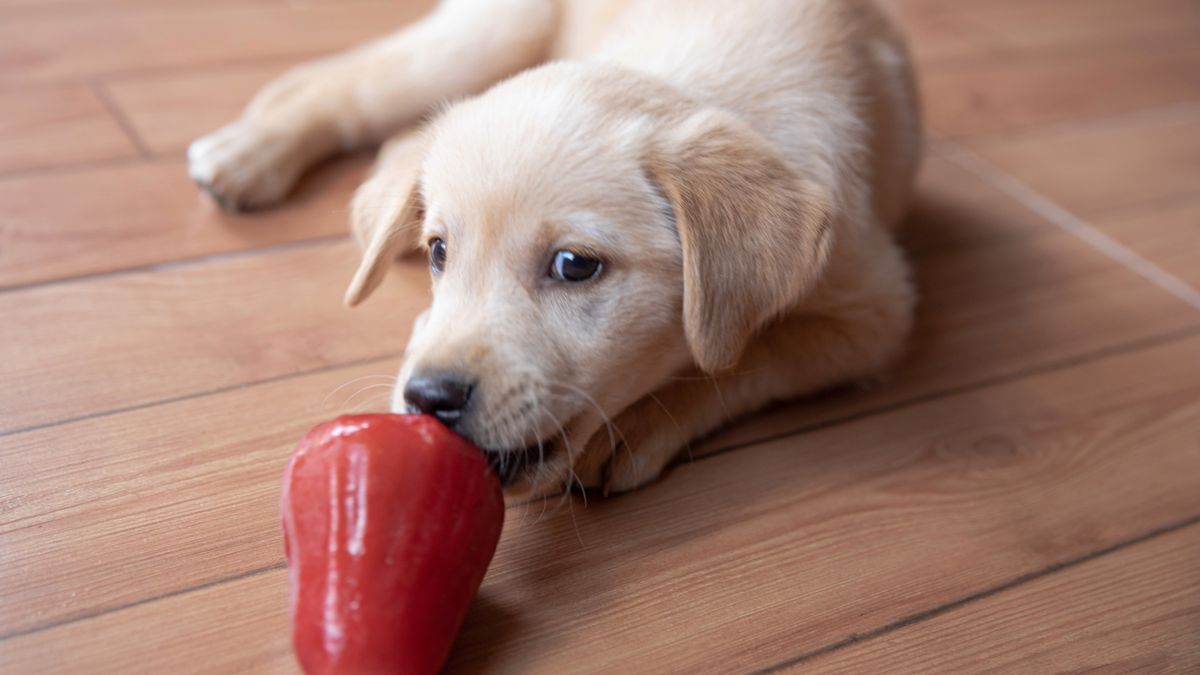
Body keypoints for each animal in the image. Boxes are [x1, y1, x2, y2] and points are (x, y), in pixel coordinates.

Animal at [189, 0, 916, 494]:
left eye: (574, 266)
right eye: (441, 252)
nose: (428, 397)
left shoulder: (874, 314)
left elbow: (737, 358)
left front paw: (641, 422)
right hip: (492, 31)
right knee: (334, 84)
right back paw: (247, 154)